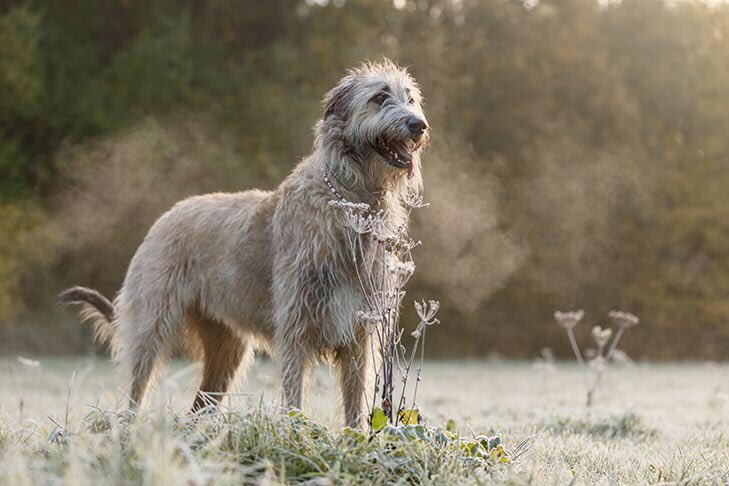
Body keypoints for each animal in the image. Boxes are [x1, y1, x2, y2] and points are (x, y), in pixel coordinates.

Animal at [62, 60, 430, 430]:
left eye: (410, 98)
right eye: (379, 97)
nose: (419, 125)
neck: (351, 203)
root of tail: (164, 217)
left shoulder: (359, 333)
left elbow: (355, 400)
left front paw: (354, 439)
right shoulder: (295, 326)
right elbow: (294, 395)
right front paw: (296, 432)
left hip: (227, 348)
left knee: (201, 404)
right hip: (151, 324)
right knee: (138, 386)